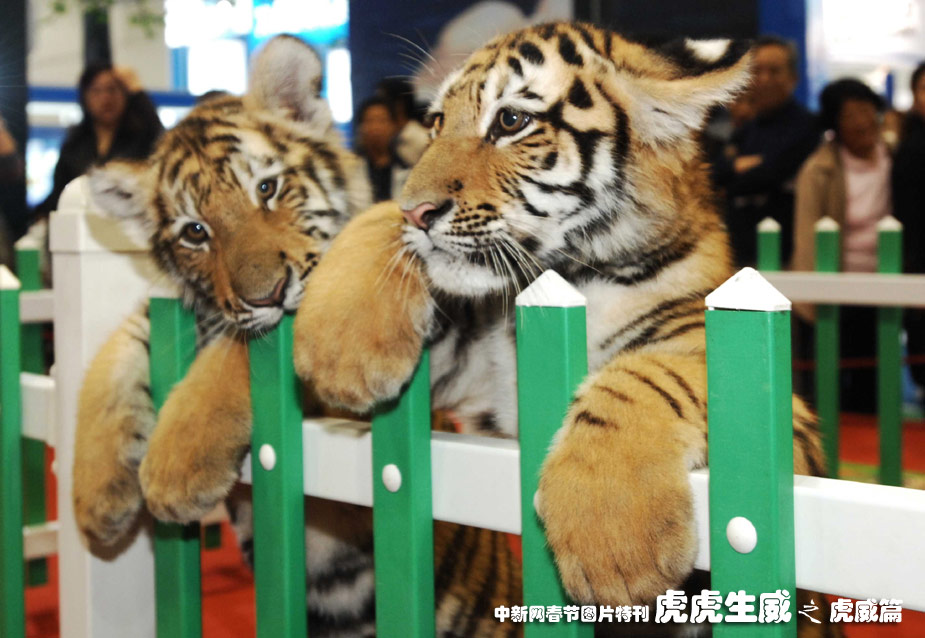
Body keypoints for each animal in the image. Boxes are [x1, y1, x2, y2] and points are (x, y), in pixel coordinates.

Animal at [292, 21, 839, 637]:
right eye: (435, 123)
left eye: (511, 121)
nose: (417, 211)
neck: (578, 273)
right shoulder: (476, 384)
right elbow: (374, 218)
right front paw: (339, 350)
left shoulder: (785, 425)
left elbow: (649, 373)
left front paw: (616, 543)